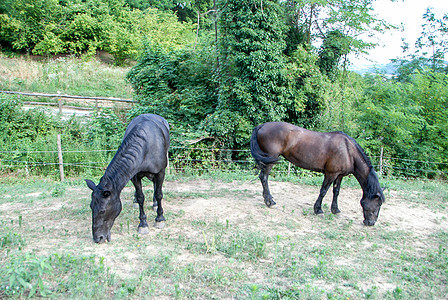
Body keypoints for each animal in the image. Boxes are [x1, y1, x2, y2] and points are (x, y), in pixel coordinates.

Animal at [85, 113, 169, 243]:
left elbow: (159, 194)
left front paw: (160, 218)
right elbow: (140, 197)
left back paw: (155, 204)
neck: (145, 147)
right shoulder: (134, 176)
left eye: (102, 211)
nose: (98, 238)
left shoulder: (160, 172)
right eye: (91, 207)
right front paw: (143, 224)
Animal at [248, 121, 384, 225]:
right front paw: (318, 209)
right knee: (264, 177)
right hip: (270, 160)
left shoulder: (339, 175)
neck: (348, 151)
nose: (371, 223)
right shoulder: (330, 174)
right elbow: (323, 191)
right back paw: (269, 201)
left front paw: (335, 209)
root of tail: (262, 126)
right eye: (378, 204)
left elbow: (336, 192)